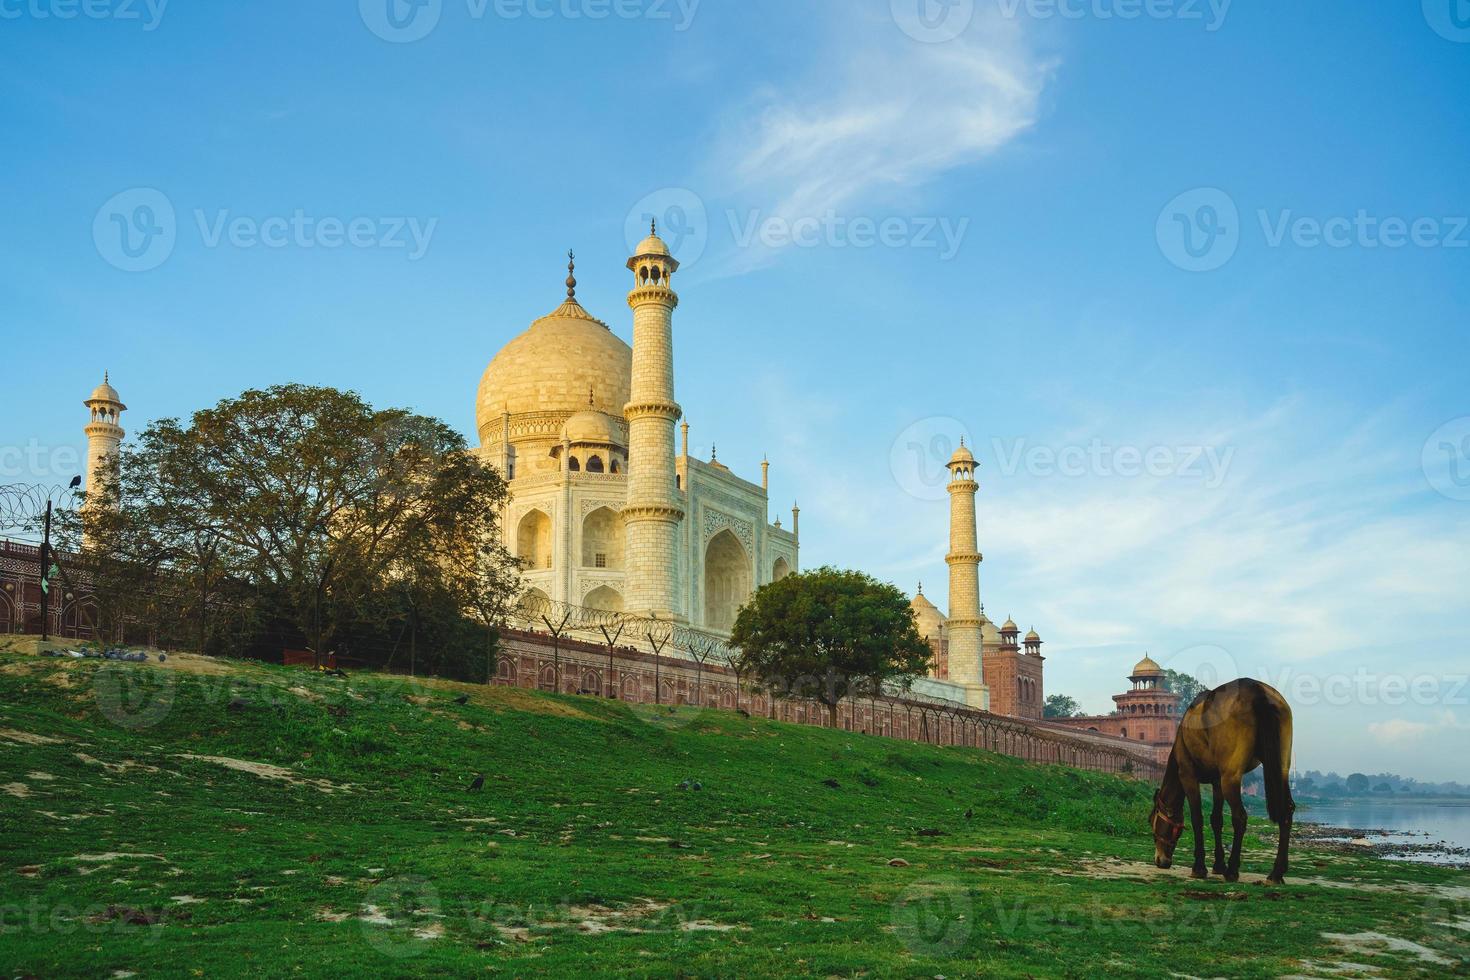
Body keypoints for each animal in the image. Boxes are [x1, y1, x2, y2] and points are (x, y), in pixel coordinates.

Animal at [1146, 678, 1299, 887]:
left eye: (1151, 821)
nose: (1161, 860)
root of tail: (1255, 689)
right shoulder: (1216, 779)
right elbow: (1216, 819)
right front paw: (1218, 865)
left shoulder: (1187, 773)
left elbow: (1197, 818)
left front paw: (1199, 867)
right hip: (1280, 764)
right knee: (1287, 808)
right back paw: (1276, 873)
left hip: (1230, 774)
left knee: (1240, 816)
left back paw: (1233, 870)